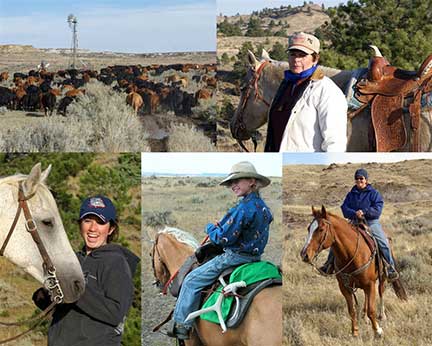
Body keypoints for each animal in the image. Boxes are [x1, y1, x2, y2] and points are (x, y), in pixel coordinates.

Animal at [298, 205, 406, 338]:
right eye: (309, 228)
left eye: (321, 229)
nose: (304, 254)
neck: (351, 254)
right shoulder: (345, 287)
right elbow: (352, 310)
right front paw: (355, 332)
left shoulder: (370, 284)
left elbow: (372, 310)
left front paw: (377, 331)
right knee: (366, 297)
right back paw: (364, 317)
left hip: (383, 277)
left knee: (381, 292)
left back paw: (382, 315)